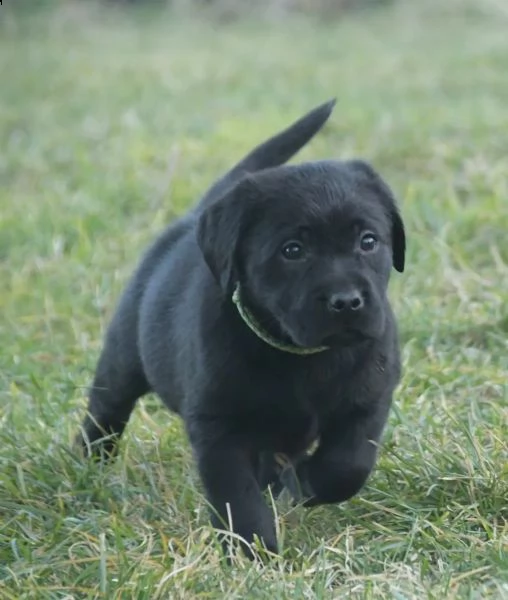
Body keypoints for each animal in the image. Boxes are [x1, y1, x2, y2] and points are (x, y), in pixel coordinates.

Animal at [77, 99, 404, 556]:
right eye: (293, 251)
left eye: (368, 241)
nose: (346, 301)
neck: (301, 357)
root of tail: (193, 216)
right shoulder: (219, 427)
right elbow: (236, 496)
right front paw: (254, 552)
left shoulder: (369, 397)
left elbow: (348, 464)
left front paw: (304, 483)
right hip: (123, 359)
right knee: (106, 410)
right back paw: (88, 463)